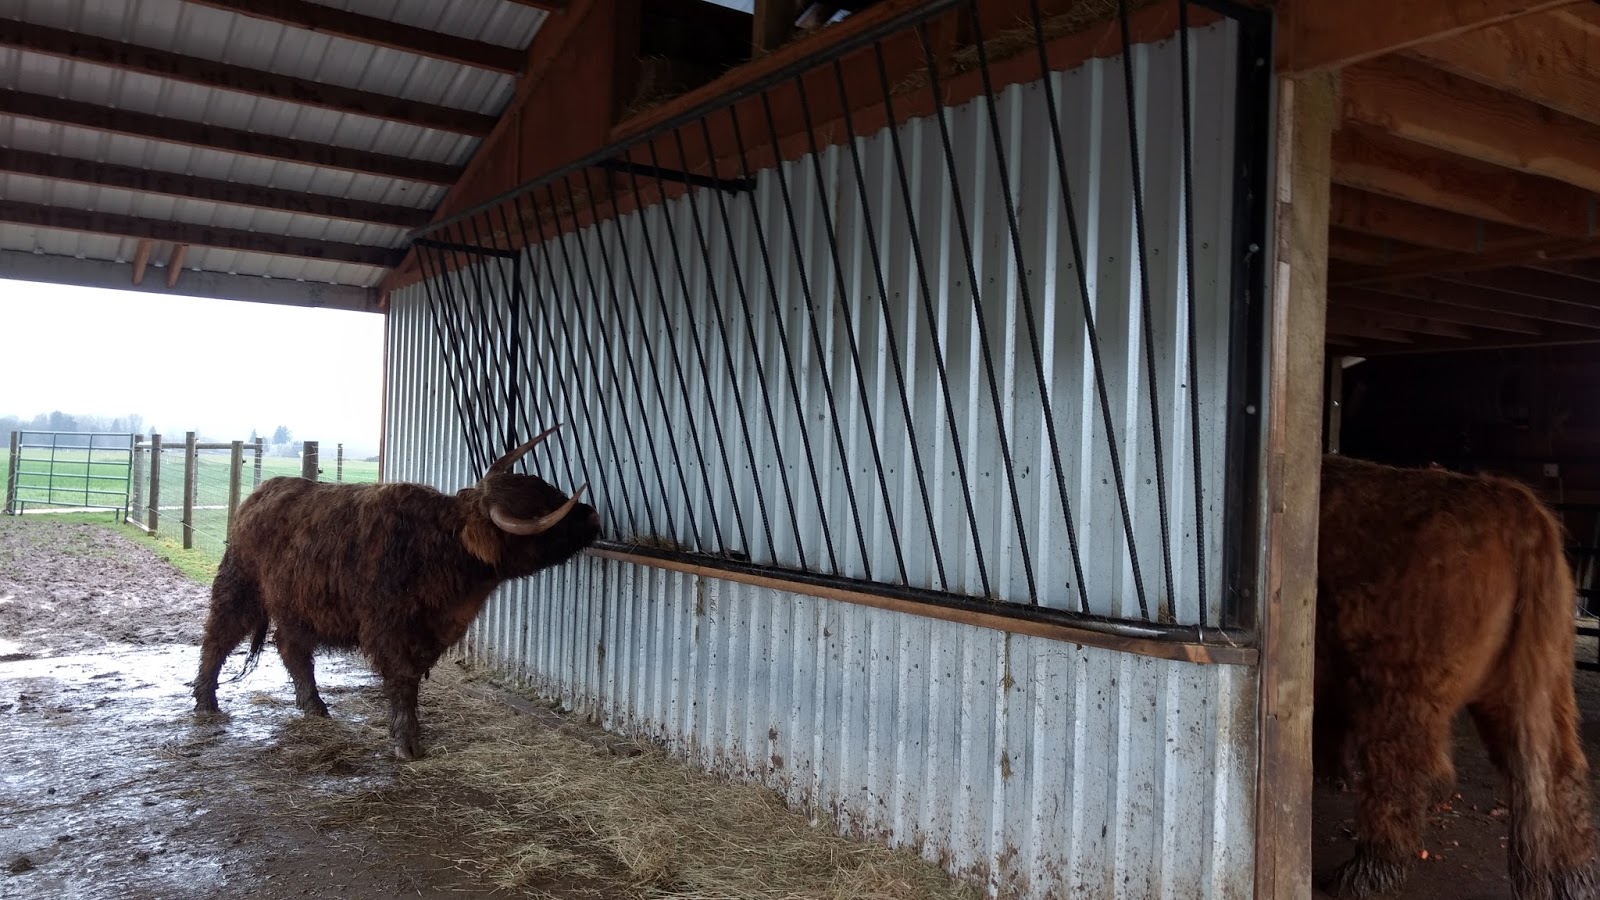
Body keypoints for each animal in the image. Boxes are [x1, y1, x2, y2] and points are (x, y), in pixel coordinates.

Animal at [192, 424, 601, 760]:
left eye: (549, 489)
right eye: (536, 512)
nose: (593, 515)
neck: (441, 549)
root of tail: (259, 493)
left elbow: (413, 676)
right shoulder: (389, 625)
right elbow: (403, 678)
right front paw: (407, 741)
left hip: (296, 605)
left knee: (292, 649)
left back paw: (315, 706)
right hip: (239, 585)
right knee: (219, 637)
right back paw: (205, 701)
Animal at [1317, 454, 1598, 900]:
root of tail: (1514, 502)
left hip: (1400, 685)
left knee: (1396, 775)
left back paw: (1366, 872)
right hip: (1543, 682)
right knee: (1562, 772)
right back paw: (1576, 877)